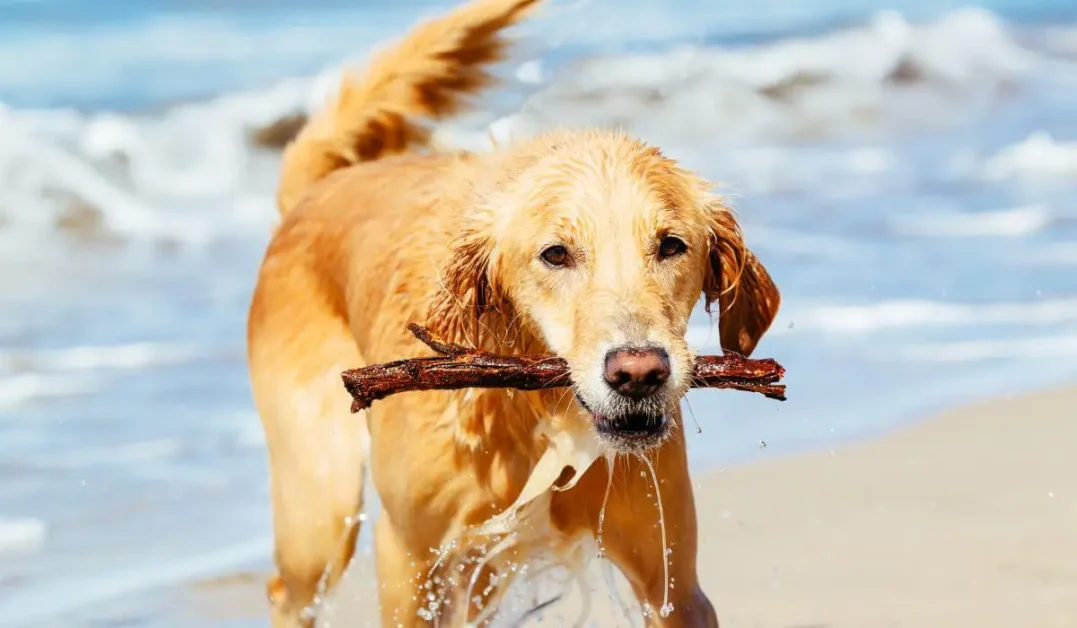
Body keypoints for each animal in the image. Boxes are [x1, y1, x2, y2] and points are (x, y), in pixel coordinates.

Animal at [247, 0, 779, 624]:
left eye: (671, 245)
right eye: (556, 254)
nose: (638, 374)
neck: (533, 414)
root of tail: (313, 192)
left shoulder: (672, 584)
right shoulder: (408, 560)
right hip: (320, 509)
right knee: (287, 587)